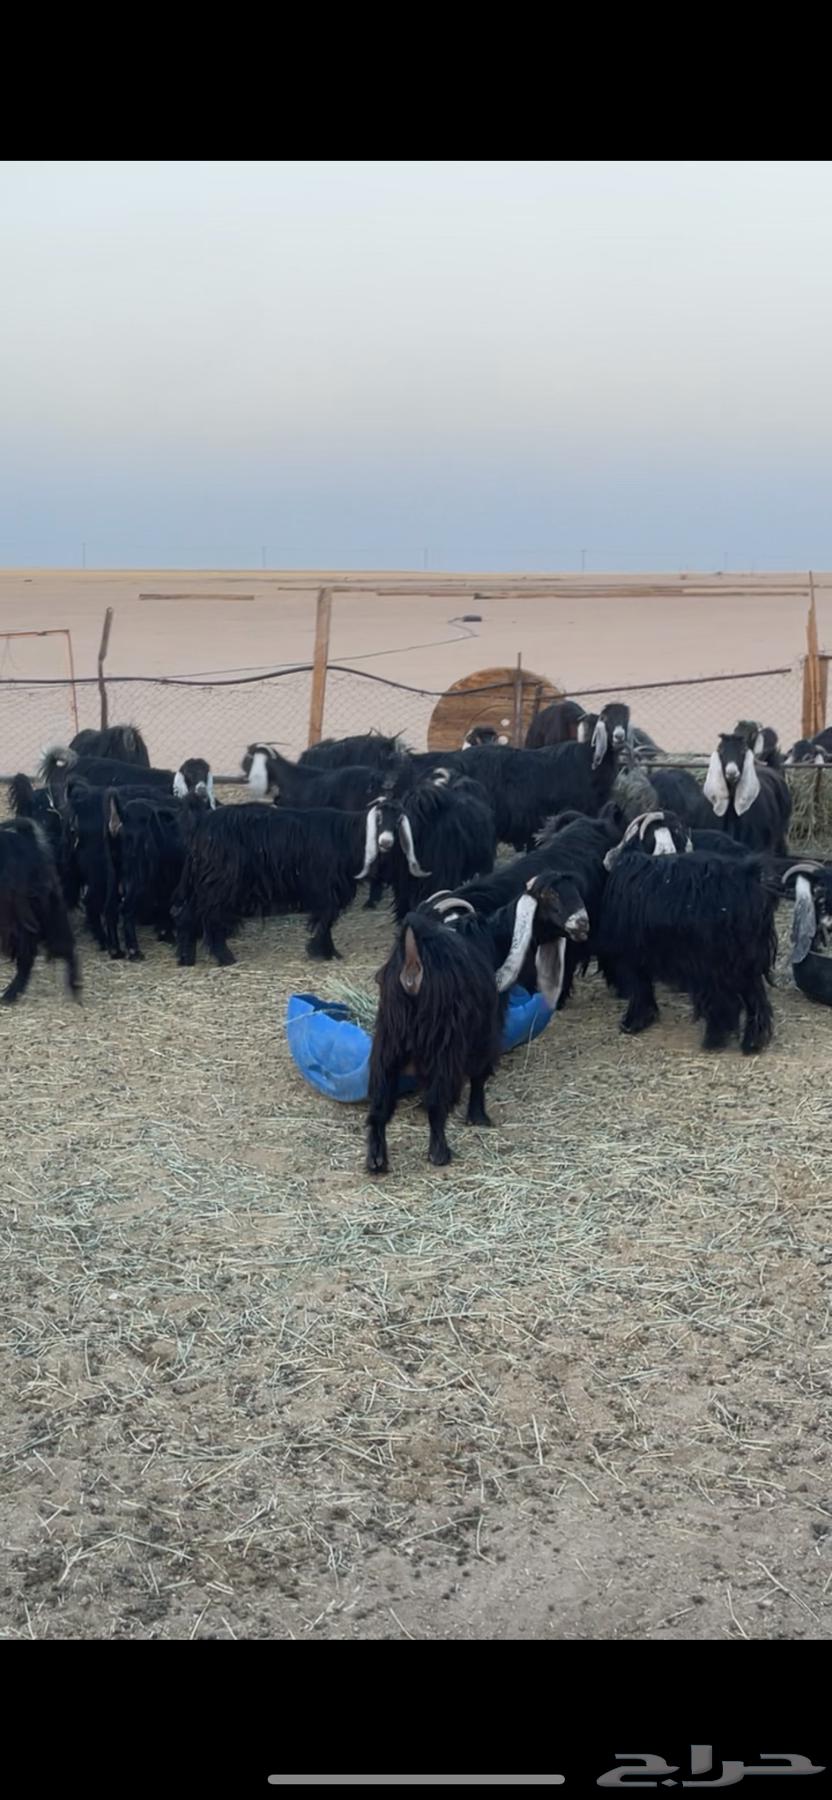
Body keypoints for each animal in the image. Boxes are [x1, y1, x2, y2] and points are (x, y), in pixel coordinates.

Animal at [172, 799, 384, 966]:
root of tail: (200, 824)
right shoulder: (325, 889)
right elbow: (325, 920)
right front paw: (325, 952)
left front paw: (325, 952)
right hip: (219, 887)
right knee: (211, 918)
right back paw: (225, 958)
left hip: (203, 888)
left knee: (188, 917)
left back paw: (186, 959)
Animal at [366, 910, 503, 1174]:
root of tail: (412, 961)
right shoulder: (483, 1037)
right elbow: (479, 1076)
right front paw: (478, 1117)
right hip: (444, 1044)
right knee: (437, 1103)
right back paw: (439, 1153)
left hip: (387, 1040)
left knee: (379, 1101)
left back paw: (376, 1159)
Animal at [597, 849, 778, 1052]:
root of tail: (748, 877)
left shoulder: (632, 956)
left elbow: (639, 987)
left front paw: (633, 1022)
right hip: (746, 959)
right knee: (755, 998)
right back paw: (752, 1042)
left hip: (714, 962)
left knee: (725, 1001)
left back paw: (713, 1040)